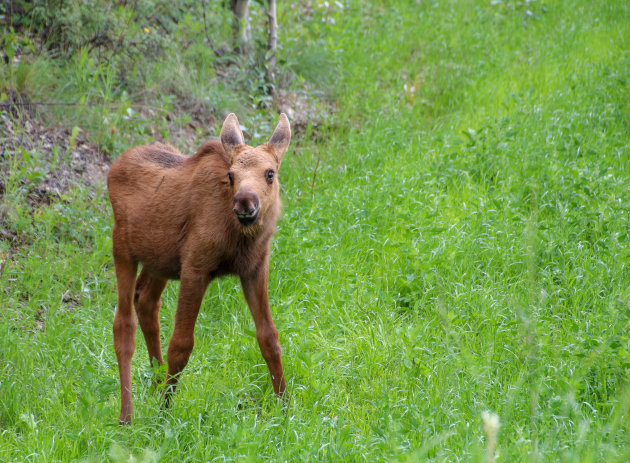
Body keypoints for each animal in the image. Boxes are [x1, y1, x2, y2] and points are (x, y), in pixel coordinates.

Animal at [108, 112, 292, 424]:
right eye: (231, 176)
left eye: (270, 173)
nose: (245, 202)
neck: (240, 237)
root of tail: (113, 167)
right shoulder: (195, 267)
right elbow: (181, 344)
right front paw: (165, 413)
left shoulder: (254, 268)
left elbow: (269, 337)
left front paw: (286, 407)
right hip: (123, 249)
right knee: (123, 324)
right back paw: (127, 416)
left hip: (159, 262)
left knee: (146, 301)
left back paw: (156, 383)